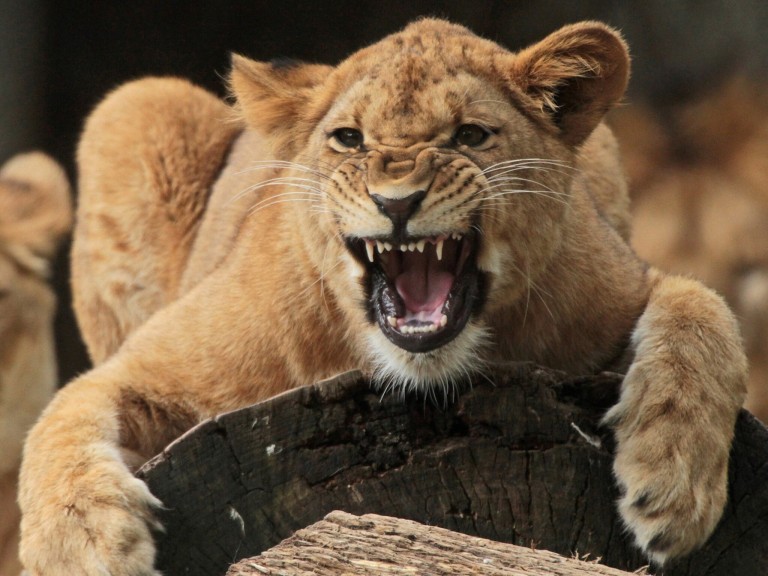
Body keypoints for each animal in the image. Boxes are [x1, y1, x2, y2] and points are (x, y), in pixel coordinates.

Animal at [19, 19, 747, 574]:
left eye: (469, 135)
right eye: (350, 139)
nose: (396, 202)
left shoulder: (627, 283)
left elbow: (704, 317)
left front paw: (673, 482)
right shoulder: (150, 367)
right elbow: (58, 422)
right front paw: (82, 546)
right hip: (134, 106)